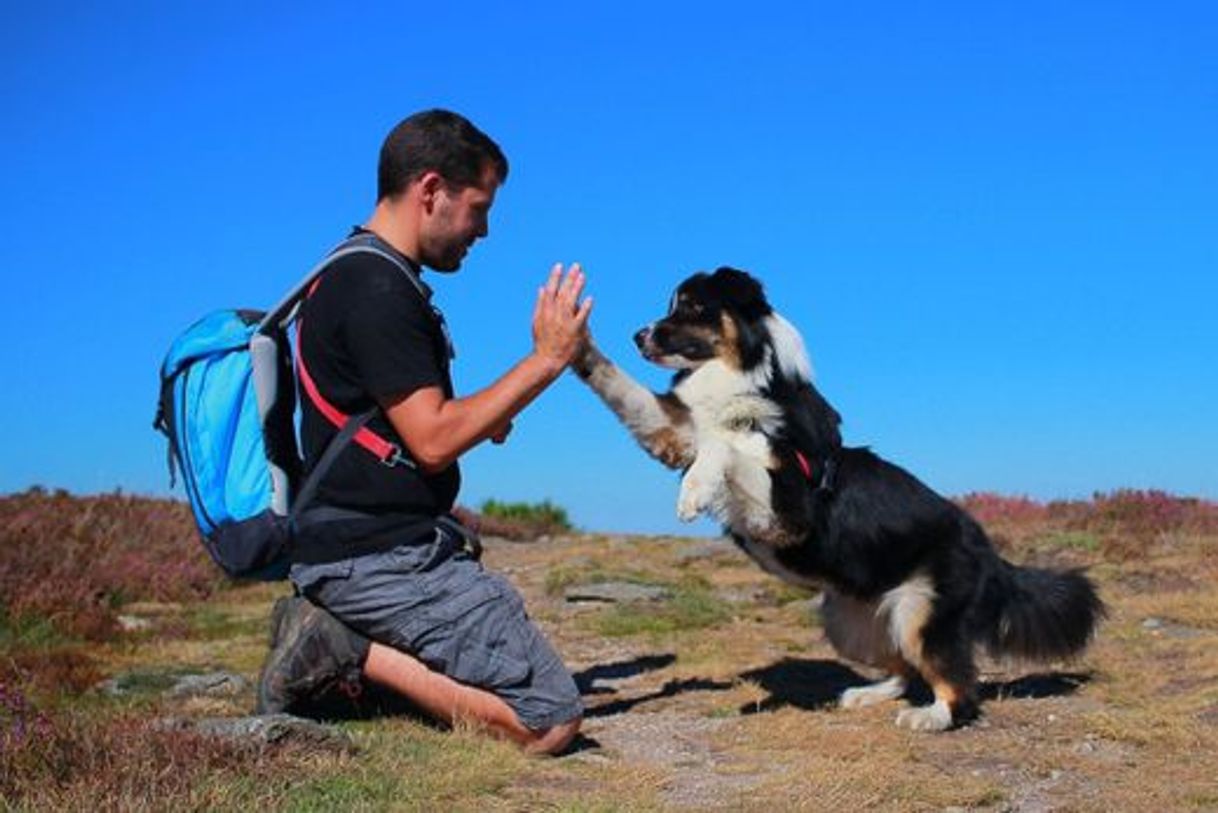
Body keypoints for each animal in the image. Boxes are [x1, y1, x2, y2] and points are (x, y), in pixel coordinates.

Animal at [570, 266, 1105, 731]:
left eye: (693, 307)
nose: (638, 335)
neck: (746, 379)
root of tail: (991, 552)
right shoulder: (676, 434)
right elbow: (625, 389)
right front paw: (574, 340)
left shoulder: (789, 510)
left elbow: (726, 449)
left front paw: (695, 491)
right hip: (849, 620)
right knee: (905, 670)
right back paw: (867, 694)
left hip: (920, 615)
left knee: (958, 685)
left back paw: (930, 718)